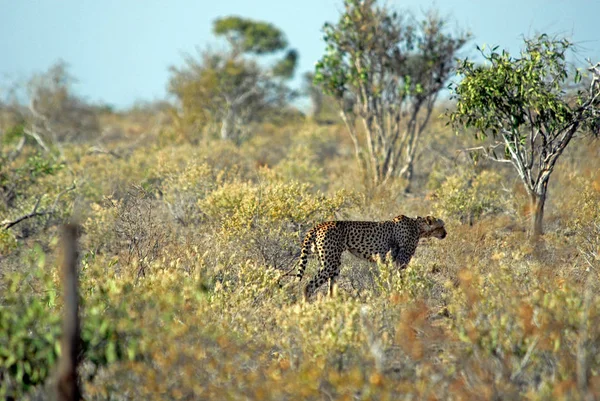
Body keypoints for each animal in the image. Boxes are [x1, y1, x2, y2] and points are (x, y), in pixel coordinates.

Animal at [298, 216, 446, 296]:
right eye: (441, 226)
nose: (445, 233)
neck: (417, 226)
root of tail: (320, 224)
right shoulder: (402, 260)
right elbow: (401, 279)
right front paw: (403, 293)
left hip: (332, 263)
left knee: (330, 289)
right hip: (329, 263)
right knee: (307, 286)